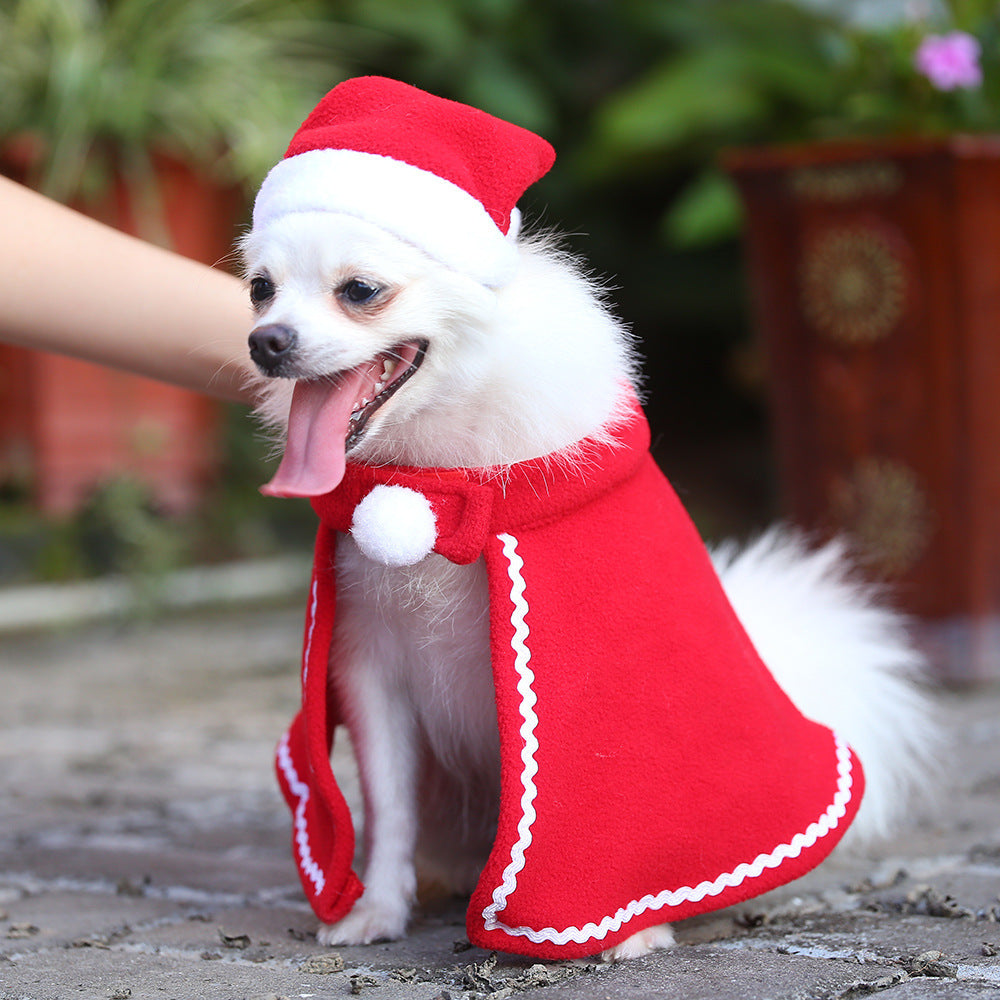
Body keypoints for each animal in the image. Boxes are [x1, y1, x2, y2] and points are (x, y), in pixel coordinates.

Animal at [240, 78, 936, 960]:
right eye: (259, 290)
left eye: (359, 291)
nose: (266, 342)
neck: (436, 481)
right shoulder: (373, 670)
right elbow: (390, 809)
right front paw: (377, 909)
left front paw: (624, 926)